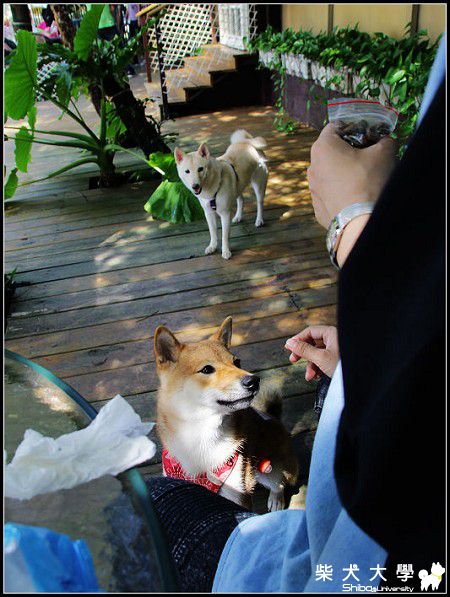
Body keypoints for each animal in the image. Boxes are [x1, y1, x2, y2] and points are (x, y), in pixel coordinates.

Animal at [154, 316, 298, 511]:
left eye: (237, 362)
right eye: (207, 369)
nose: (254, 380)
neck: (201, 435)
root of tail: (274, 418)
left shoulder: (239, 494)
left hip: (269, 471)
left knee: (279, 484)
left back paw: (276, 500)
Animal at [174, 130, 269, 260]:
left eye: (200, 169)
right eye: (187, 171)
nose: (195, 186)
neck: (211, 190)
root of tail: (247, 142)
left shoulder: (225, 214)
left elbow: (224, 236)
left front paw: (225, 251)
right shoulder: (209, 213)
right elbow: (213, 232)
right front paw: (212, 246)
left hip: (258, 185)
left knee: (260, 203)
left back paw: (259, 220)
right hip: (238, 186)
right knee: (241, 200)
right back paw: (238, 216)